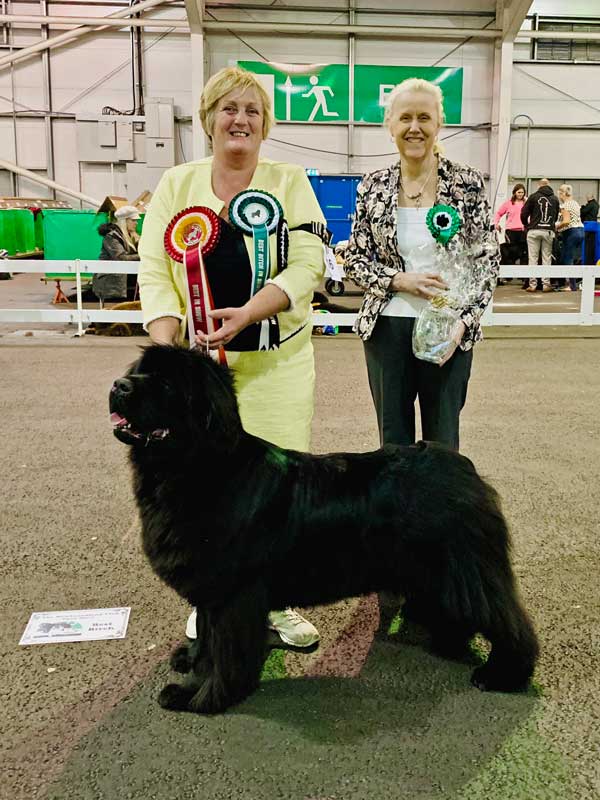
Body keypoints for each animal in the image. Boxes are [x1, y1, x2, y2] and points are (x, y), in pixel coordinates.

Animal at [111, 344, 540, 712]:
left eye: (167, 383)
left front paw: (198, 695)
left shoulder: (232, 594)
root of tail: (462, 467)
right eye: (140, 370)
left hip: (464, 567)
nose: (119, 385)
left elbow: (221, 652)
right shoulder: (211, 590)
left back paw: (501, 674)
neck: (198, 471)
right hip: (435, 569)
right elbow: (204, 636)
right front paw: (191, 663)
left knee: (507, 621)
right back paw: (447, 642)